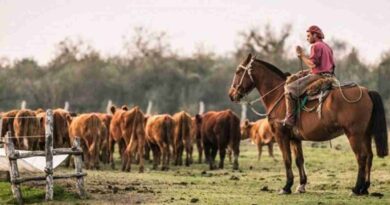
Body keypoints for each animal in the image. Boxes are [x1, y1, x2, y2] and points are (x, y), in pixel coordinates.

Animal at [227, 53, 388, 195]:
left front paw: (286, 186)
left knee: (361, 157)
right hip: (365, 134)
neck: (279, 95)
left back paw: (356, 189)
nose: (231, 94)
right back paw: (365, 188)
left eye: (238, 71)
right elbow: (299, 160)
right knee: (369, 156)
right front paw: (301, 185)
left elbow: (287, 160)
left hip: (354, 134)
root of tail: (366, 91)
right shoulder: (295, 139)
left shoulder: (281, 136)